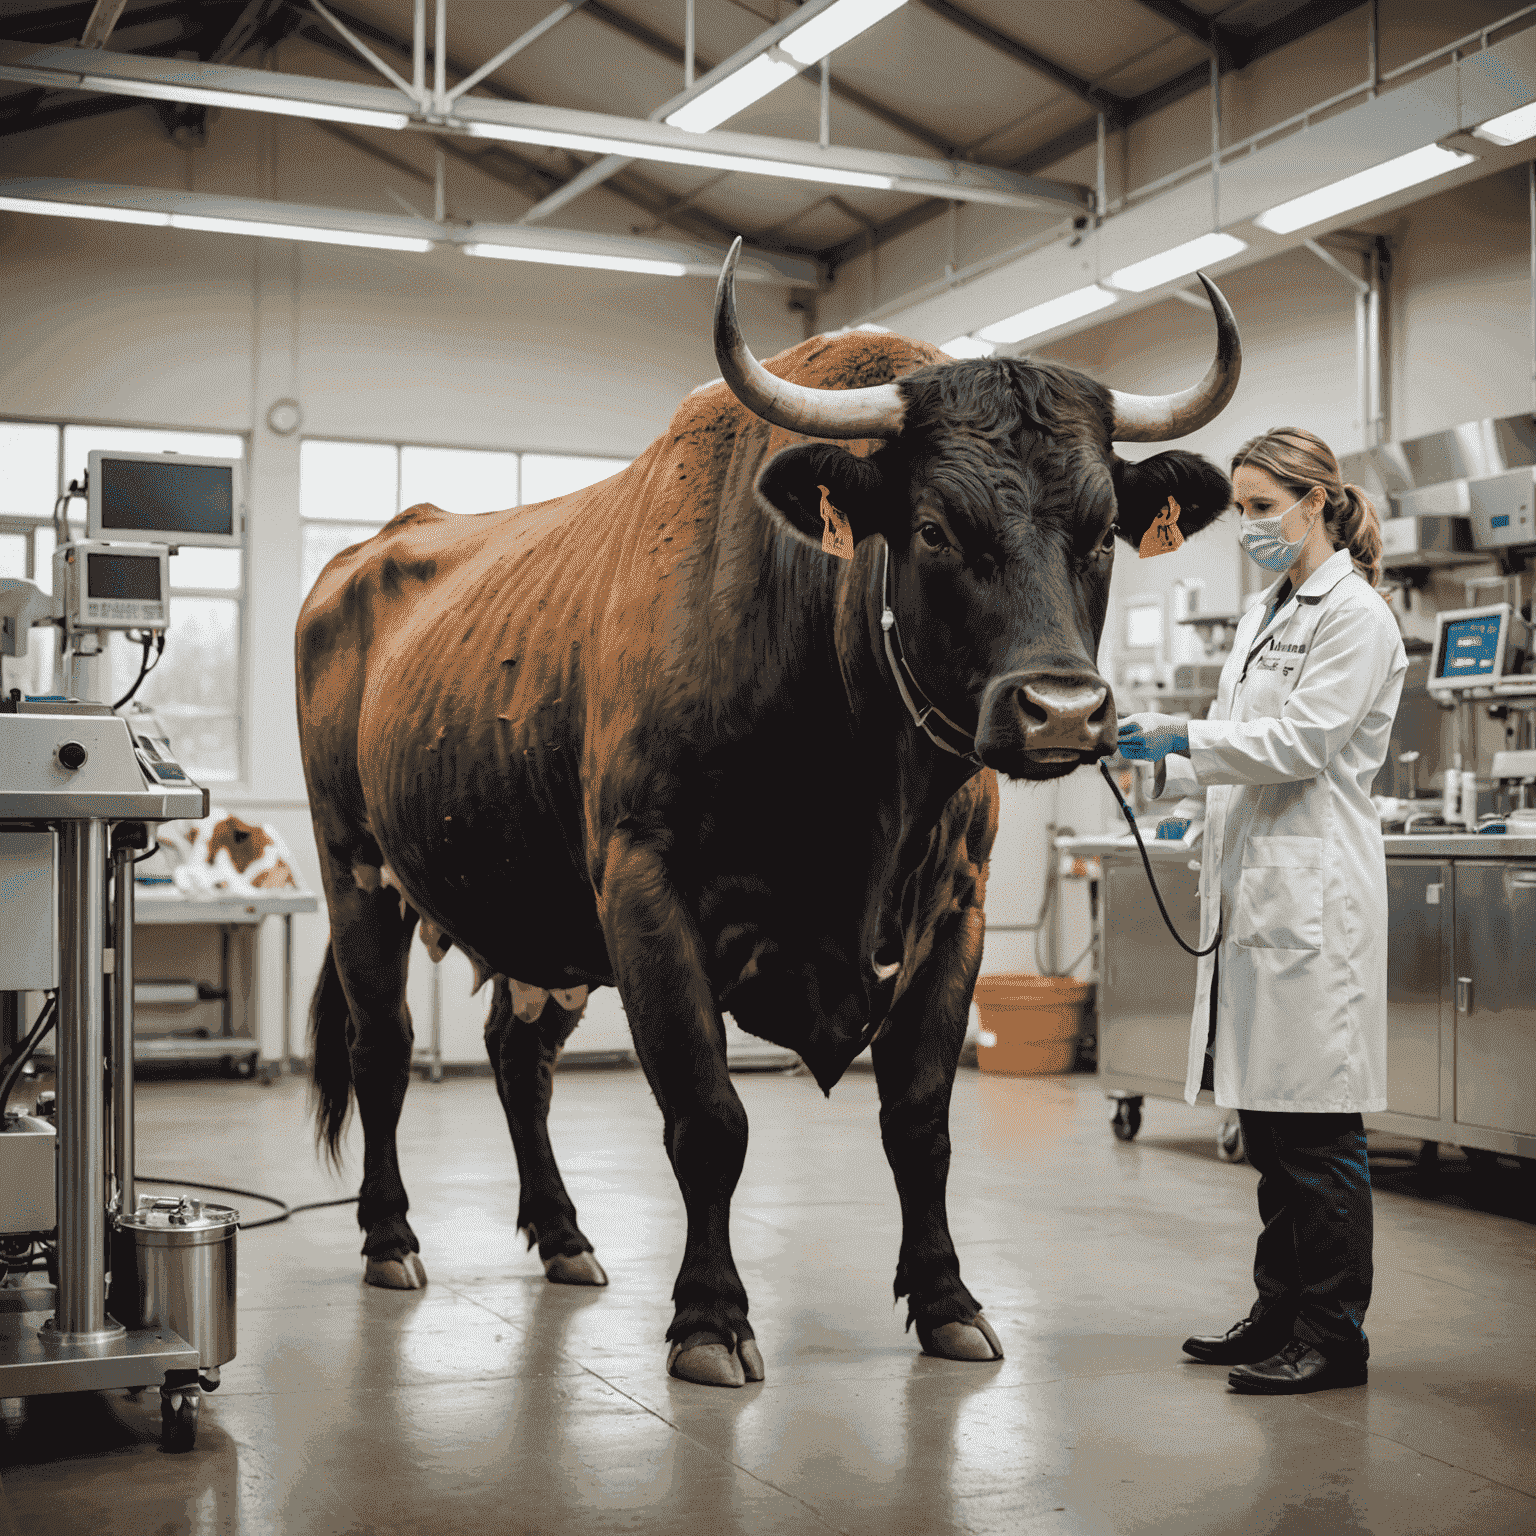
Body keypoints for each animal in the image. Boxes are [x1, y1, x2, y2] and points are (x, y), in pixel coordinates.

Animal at [296, 245, 1234, 1388]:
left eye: (1102, 535)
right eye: (933, 528)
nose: (1062, 710)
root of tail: (373, 551)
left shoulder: (954, 911)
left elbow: (920, 1120)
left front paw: (947, 1300)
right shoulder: (644, 891)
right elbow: (709, 1119)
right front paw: (708, 1318)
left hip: (542, 917)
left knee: (521, 1062)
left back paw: (563, 1236)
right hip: (357, 871)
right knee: (382, 1049)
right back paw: (390, 1238)